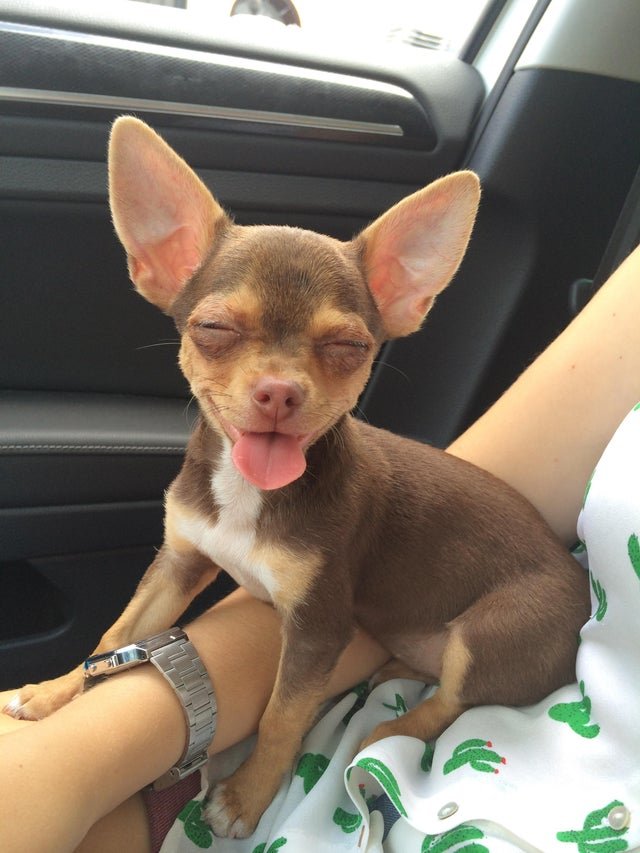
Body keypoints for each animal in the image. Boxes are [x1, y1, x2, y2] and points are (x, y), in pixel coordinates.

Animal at [8, 116, 592, 836]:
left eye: (349, 347)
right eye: (213, 328)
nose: (279, 392)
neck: (248, 496)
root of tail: (579, 586)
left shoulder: (317, 628)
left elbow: (282, 714)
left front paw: (248, 794)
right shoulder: (179, 563)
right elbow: (115, 637)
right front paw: (53, 692)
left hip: (493, 632)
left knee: (454, 700)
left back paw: (387, 734)